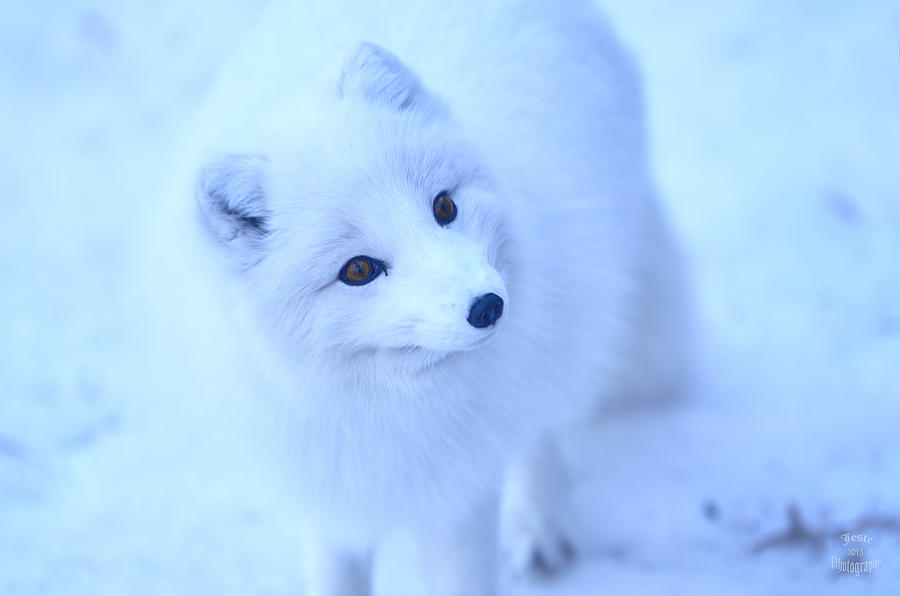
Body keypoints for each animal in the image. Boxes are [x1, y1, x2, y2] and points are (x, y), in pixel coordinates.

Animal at [190, 1, 688, 596]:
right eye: (359, 270)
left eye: (444, 207)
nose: (488, 306)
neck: (381, 404)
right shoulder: (328, 490)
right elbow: (335, 574)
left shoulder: (459, 490)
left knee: (538, 422)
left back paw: (540, 521)